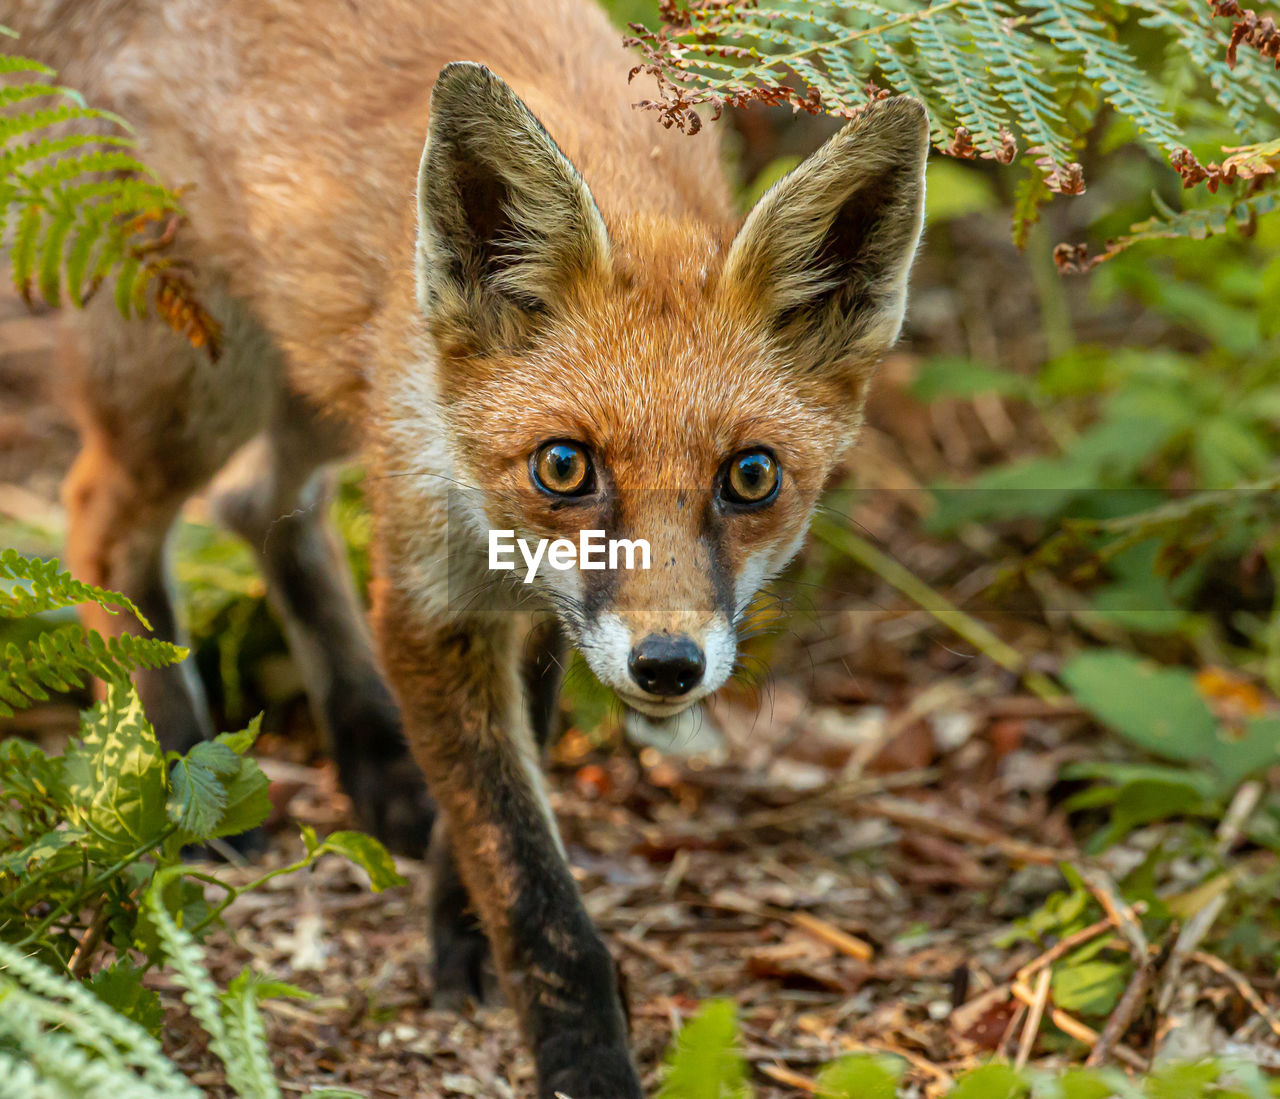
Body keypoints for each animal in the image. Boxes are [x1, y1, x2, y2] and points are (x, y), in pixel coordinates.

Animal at [10, 4, 931, 1095]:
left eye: (749, 477)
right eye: (564, 465)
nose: (668, 667)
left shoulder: (539, 607)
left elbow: (496, 799)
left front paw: (457, 927)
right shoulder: (433, 595)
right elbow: (524, 874)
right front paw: (580, 1057)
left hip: (318, 385)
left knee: (256, 502)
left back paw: (375, 761)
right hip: (197, 376)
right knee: (101, 519)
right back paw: (179, 761)